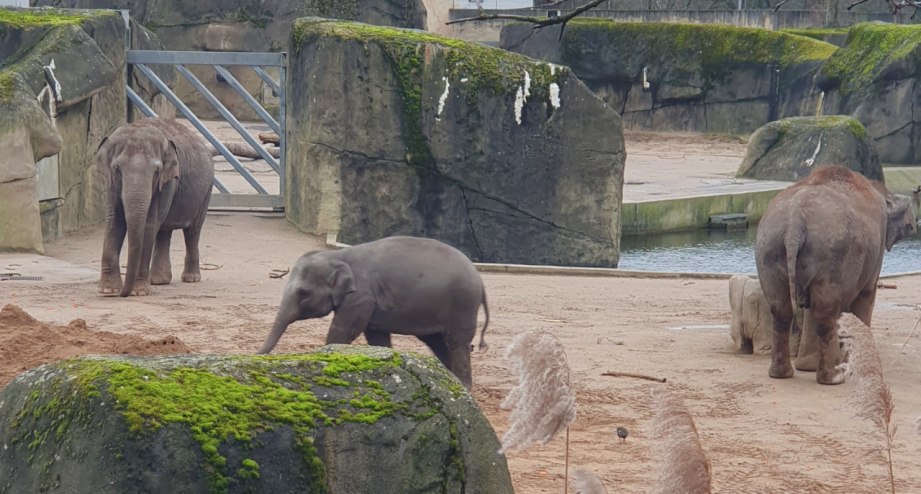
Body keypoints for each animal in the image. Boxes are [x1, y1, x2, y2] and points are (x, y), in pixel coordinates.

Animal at [95, 117, 216, 298]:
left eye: (156, 172)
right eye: (117, 169)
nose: (123, 293)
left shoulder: (166, 183)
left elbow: (148, 225)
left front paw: (139, 292)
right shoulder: (111, 184)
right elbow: (114, 221)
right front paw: (108, 290)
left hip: (206, 191)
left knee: (192, 232)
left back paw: (191, 278)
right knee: (164, 231)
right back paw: (159, 281)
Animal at [256, 236, 488, 390]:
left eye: (303, 293)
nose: (255, 356)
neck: (338, 256)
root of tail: (479, 279)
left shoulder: (361, 296)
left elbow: (343, 330)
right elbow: (376, 337)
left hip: (463, 305)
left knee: (457, 342)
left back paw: (463, 387)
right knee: (437, 342)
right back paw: (450, 381)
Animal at [756, 164, 912, 384]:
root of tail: (796, 221)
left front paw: (808, 367)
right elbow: (866, 295)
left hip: (769, 246)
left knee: (782, 308)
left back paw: (782, 374)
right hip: (833, 253)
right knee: (826, 311)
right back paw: (834, 378)